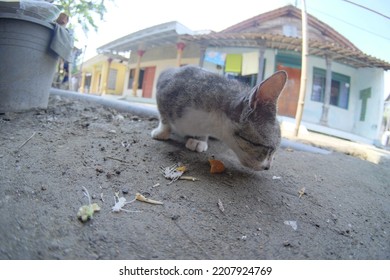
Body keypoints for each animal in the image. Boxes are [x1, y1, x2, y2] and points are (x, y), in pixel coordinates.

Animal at [152, 65, 286, 171]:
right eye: (268, 149)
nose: (268, 167)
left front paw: (198, 139)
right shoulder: (164, 84)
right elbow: (163, 115)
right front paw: (162, 131)